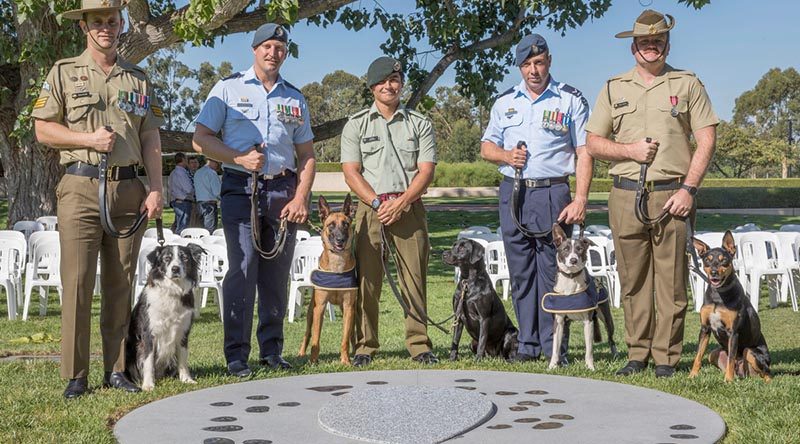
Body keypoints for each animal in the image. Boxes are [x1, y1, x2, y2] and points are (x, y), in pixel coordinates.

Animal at [126, 243, 206, 392]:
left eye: (184, 257)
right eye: (167, 259)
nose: (175, 269)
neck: (172, 290)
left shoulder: (183, 332)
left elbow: (183, 358)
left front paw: (186, 380)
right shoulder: (148, 333)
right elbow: (148, 360)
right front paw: (148, 384)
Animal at [296, 194, 356, 364]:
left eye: (346, 224)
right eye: (331, 225)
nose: (340, 239)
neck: (337, 265)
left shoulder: (348, 307)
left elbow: (345, 338)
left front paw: (345, 360)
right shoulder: (320, 307)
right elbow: (315, 338)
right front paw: (313, 361)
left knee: (352, 334)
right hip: (311, 311)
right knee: (307, 333)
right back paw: (301, 353)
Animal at [692, 232, 772, 382]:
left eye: (723, 260)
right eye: (707, 260)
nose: (714, 272)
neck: (718, 295)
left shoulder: (733, 332)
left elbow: (731, 357)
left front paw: (728, 381)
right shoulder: (705, 329)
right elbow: (698, 355)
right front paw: (692, 375)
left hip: (751, 351)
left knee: (767, 372)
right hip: (713, 354)